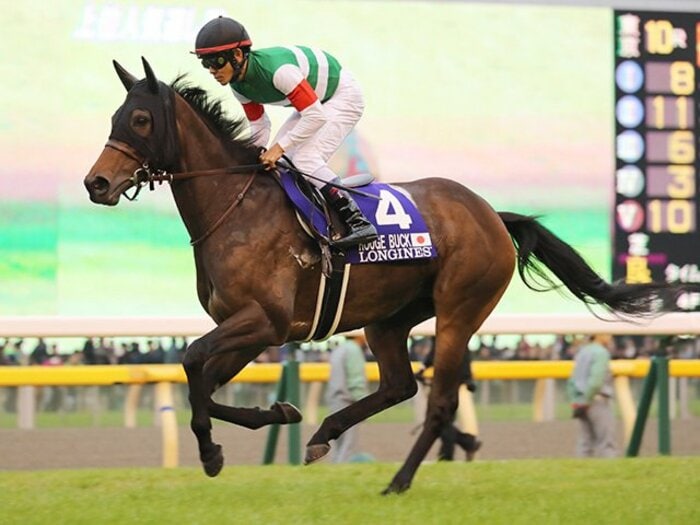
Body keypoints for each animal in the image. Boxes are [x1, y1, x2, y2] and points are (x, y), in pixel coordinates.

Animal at [84, 58, 686, 494]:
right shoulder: (249, 327)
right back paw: (325, 434)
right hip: (390, 319)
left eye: (141, 120)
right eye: (113, 119)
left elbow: (191, 363)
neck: (237, 206)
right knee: (400, 385)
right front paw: (270, 417)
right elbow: (202, 385)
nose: (96, 184)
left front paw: (215, 449)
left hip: (460, 310)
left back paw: (398, 481)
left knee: (438, 401)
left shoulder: (265, 320)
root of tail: (491, 214)